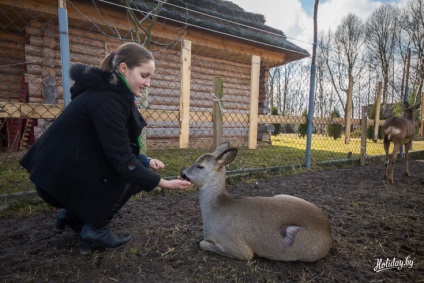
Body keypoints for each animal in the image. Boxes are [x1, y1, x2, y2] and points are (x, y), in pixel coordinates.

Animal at [179, 143, 332, 262]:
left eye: (200, 166)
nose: (183, 174)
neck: (215, 210)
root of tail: (328, 229)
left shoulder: (240, 248)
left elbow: (202, 243)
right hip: (283, 195)